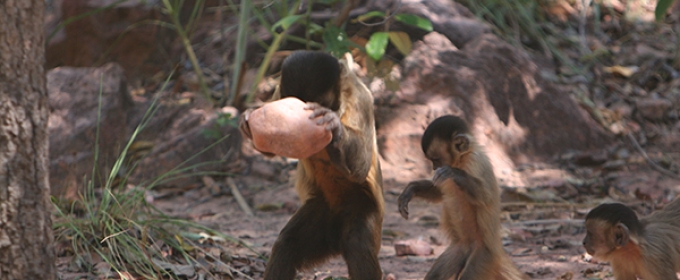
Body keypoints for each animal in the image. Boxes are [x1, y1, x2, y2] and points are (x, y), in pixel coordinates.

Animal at [242, 50, 386, 280]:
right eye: (296, 101)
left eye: (316, 102)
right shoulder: (279, 91)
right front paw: (247, 122)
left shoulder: (359, 98)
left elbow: (361, 167)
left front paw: (334, 126)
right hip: (324, 210)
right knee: (287, 244)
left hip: (365, 207)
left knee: (358, 243)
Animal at [398, 115, 524, 280]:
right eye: (432, 161)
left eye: (436, 159)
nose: (434, 168)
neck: (461, 160)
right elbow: (439, 192)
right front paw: (411, 189)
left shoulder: (474, 162)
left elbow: (486, 197)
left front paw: (454, 173)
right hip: (459, 250)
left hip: (484, 256)